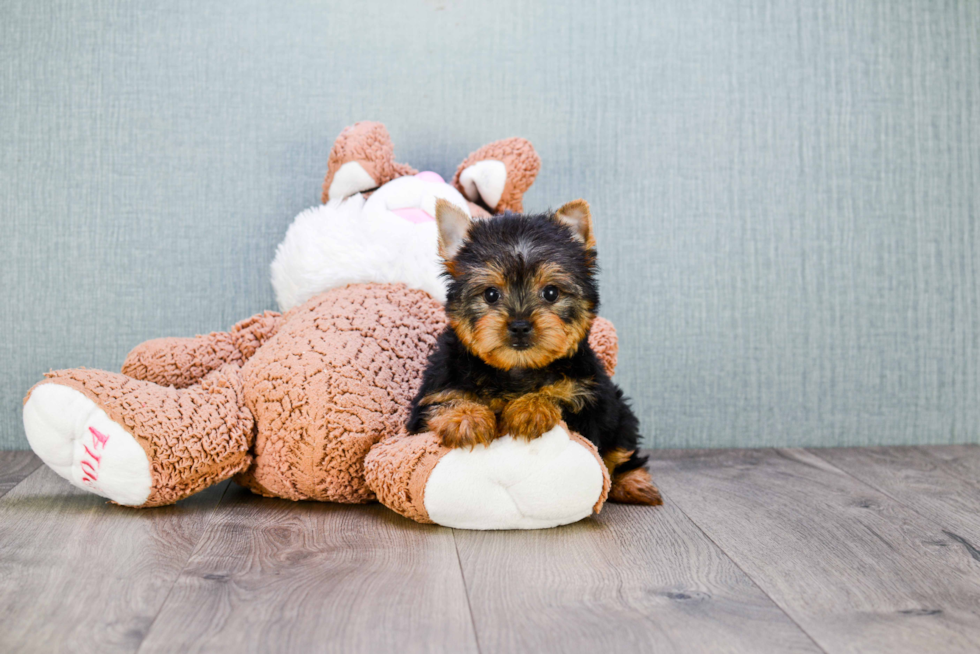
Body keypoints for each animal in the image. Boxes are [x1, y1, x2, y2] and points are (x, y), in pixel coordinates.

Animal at [402, 200, 664, 508]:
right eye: (491, 294)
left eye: (551, 293)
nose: (519, 325)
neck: (518, 369)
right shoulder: (435, 389)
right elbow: (444, 400)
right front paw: (467, 418)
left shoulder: (589, 399)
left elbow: (559, 397)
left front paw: (531, 407)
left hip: (619, 411)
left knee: (622, 449)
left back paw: (635, 483)